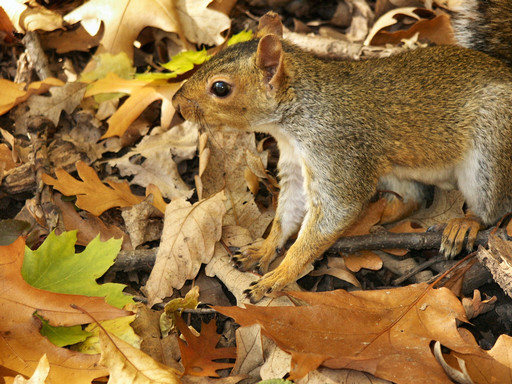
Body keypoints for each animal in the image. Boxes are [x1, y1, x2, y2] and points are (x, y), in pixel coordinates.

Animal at [171, 3, 512, 304]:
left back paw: (465, 223)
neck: (297, 116)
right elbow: (287, 213)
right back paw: (380, 219)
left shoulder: (335, 151)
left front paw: (279, 276)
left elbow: (336, 212)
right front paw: (265, 248)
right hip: (391, 168)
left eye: (220, 88)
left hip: (492, 148)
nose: (176, 102)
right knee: (414, 197)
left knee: (493, 209)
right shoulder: (296, 167)